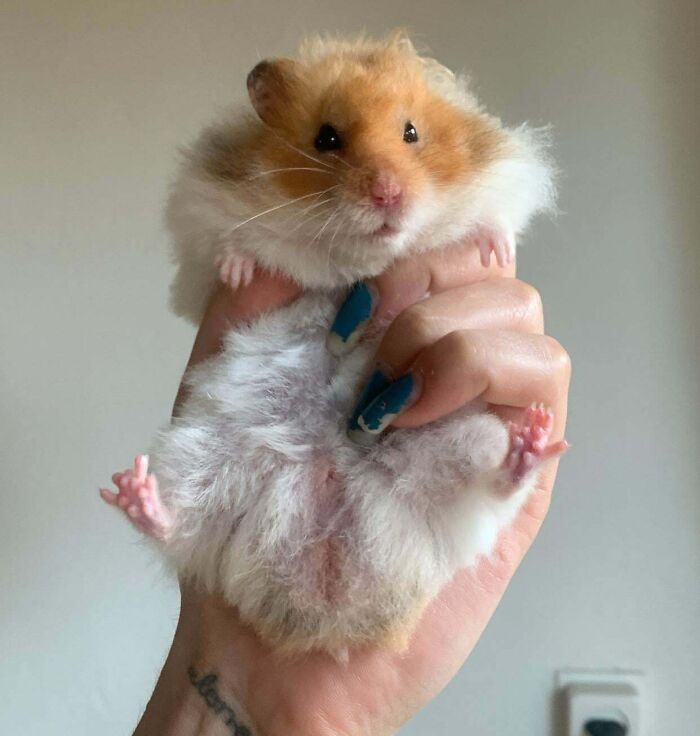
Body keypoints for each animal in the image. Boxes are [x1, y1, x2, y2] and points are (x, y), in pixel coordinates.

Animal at [101, 31, 562, 657]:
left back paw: (533, 440)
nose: (388, 194)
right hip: (197, 458)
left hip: (464, 441)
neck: (354, 260)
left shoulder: (503, 181)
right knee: (178, 527)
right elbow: (224, 247)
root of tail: (328, 609)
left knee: (495, 484)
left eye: (412, 132)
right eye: (326, 139)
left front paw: (493, 250)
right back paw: (134, 492)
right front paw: (239, 272)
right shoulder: (198, 220)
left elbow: (493, 219)